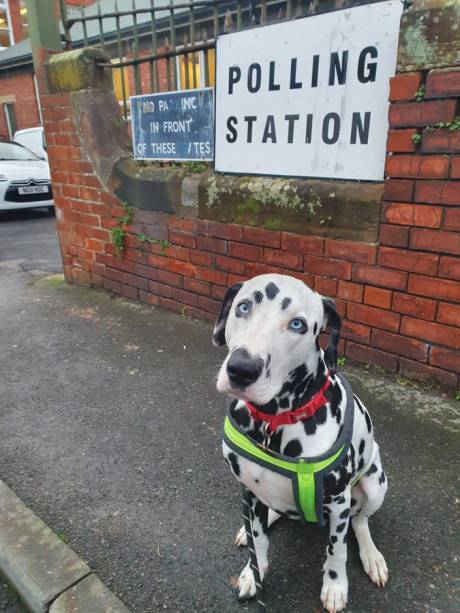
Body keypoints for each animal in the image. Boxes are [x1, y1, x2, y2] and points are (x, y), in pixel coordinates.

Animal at [214, 274, 390, 612]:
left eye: (298, 324)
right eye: (243, 307)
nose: (241, 369)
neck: (274, 421)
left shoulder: (338, 503)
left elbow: (337, 550)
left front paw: (335, 586)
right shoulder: (249, 490)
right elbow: (259, 538)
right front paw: (253, 572)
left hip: (375, 483)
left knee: (360, 521)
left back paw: (372, 556)